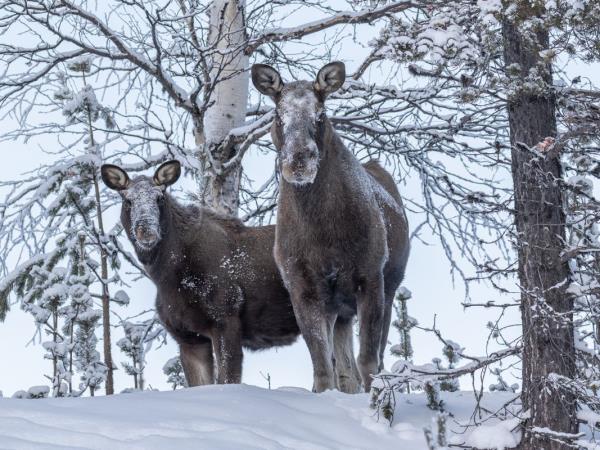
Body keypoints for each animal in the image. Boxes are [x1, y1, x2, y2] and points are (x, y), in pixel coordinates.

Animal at [103, 162, 302, 386]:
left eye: (160, 198)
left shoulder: (225, 319)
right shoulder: (188, 337)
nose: (146, 230)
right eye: (127, 200)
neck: (165, 277)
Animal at [251, 61, 410, 392]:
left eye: (321, 114)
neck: (323, 232)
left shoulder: (370, 277)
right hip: (340, 307)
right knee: (344, 367)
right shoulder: (302, 287)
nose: (298, 160)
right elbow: (324, 369)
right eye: (277, 115)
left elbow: (369, 363)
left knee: (371, 360)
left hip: (388, 288)